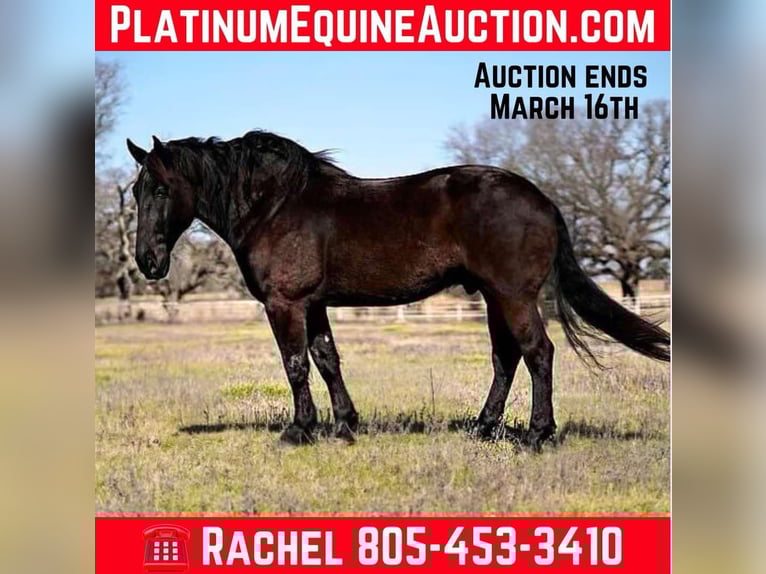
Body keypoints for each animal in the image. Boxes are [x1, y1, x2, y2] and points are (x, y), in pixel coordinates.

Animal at [126, 131, 670, 448]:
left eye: (160, 189)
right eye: (134, 190)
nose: (147, 261)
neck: (275, 207)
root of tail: (542, 199)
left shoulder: (287, 303)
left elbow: (296, 364)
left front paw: (299, 430)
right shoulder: (314, 304)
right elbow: (327, 359)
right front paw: (345, 426)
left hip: (514, 295)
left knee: (538, 353)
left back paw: (538, 435)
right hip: (495, 297)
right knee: (506, 358)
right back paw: (482, 428)